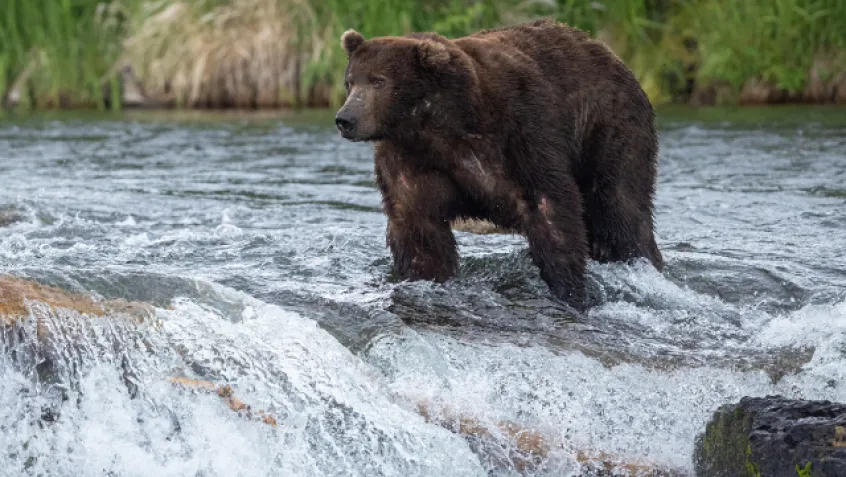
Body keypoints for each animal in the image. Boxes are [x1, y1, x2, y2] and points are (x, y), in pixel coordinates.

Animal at [335, 18, 663, 310]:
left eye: (379, 80)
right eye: (350, 82)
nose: (345, 119)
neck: (440, 124)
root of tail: (612, 56)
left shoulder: (521, 131)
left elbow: (550, 206)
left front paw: (570, 290)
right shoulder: (408, 157)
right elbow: (419, 229)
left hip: (608, 127)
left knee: (621, 208)